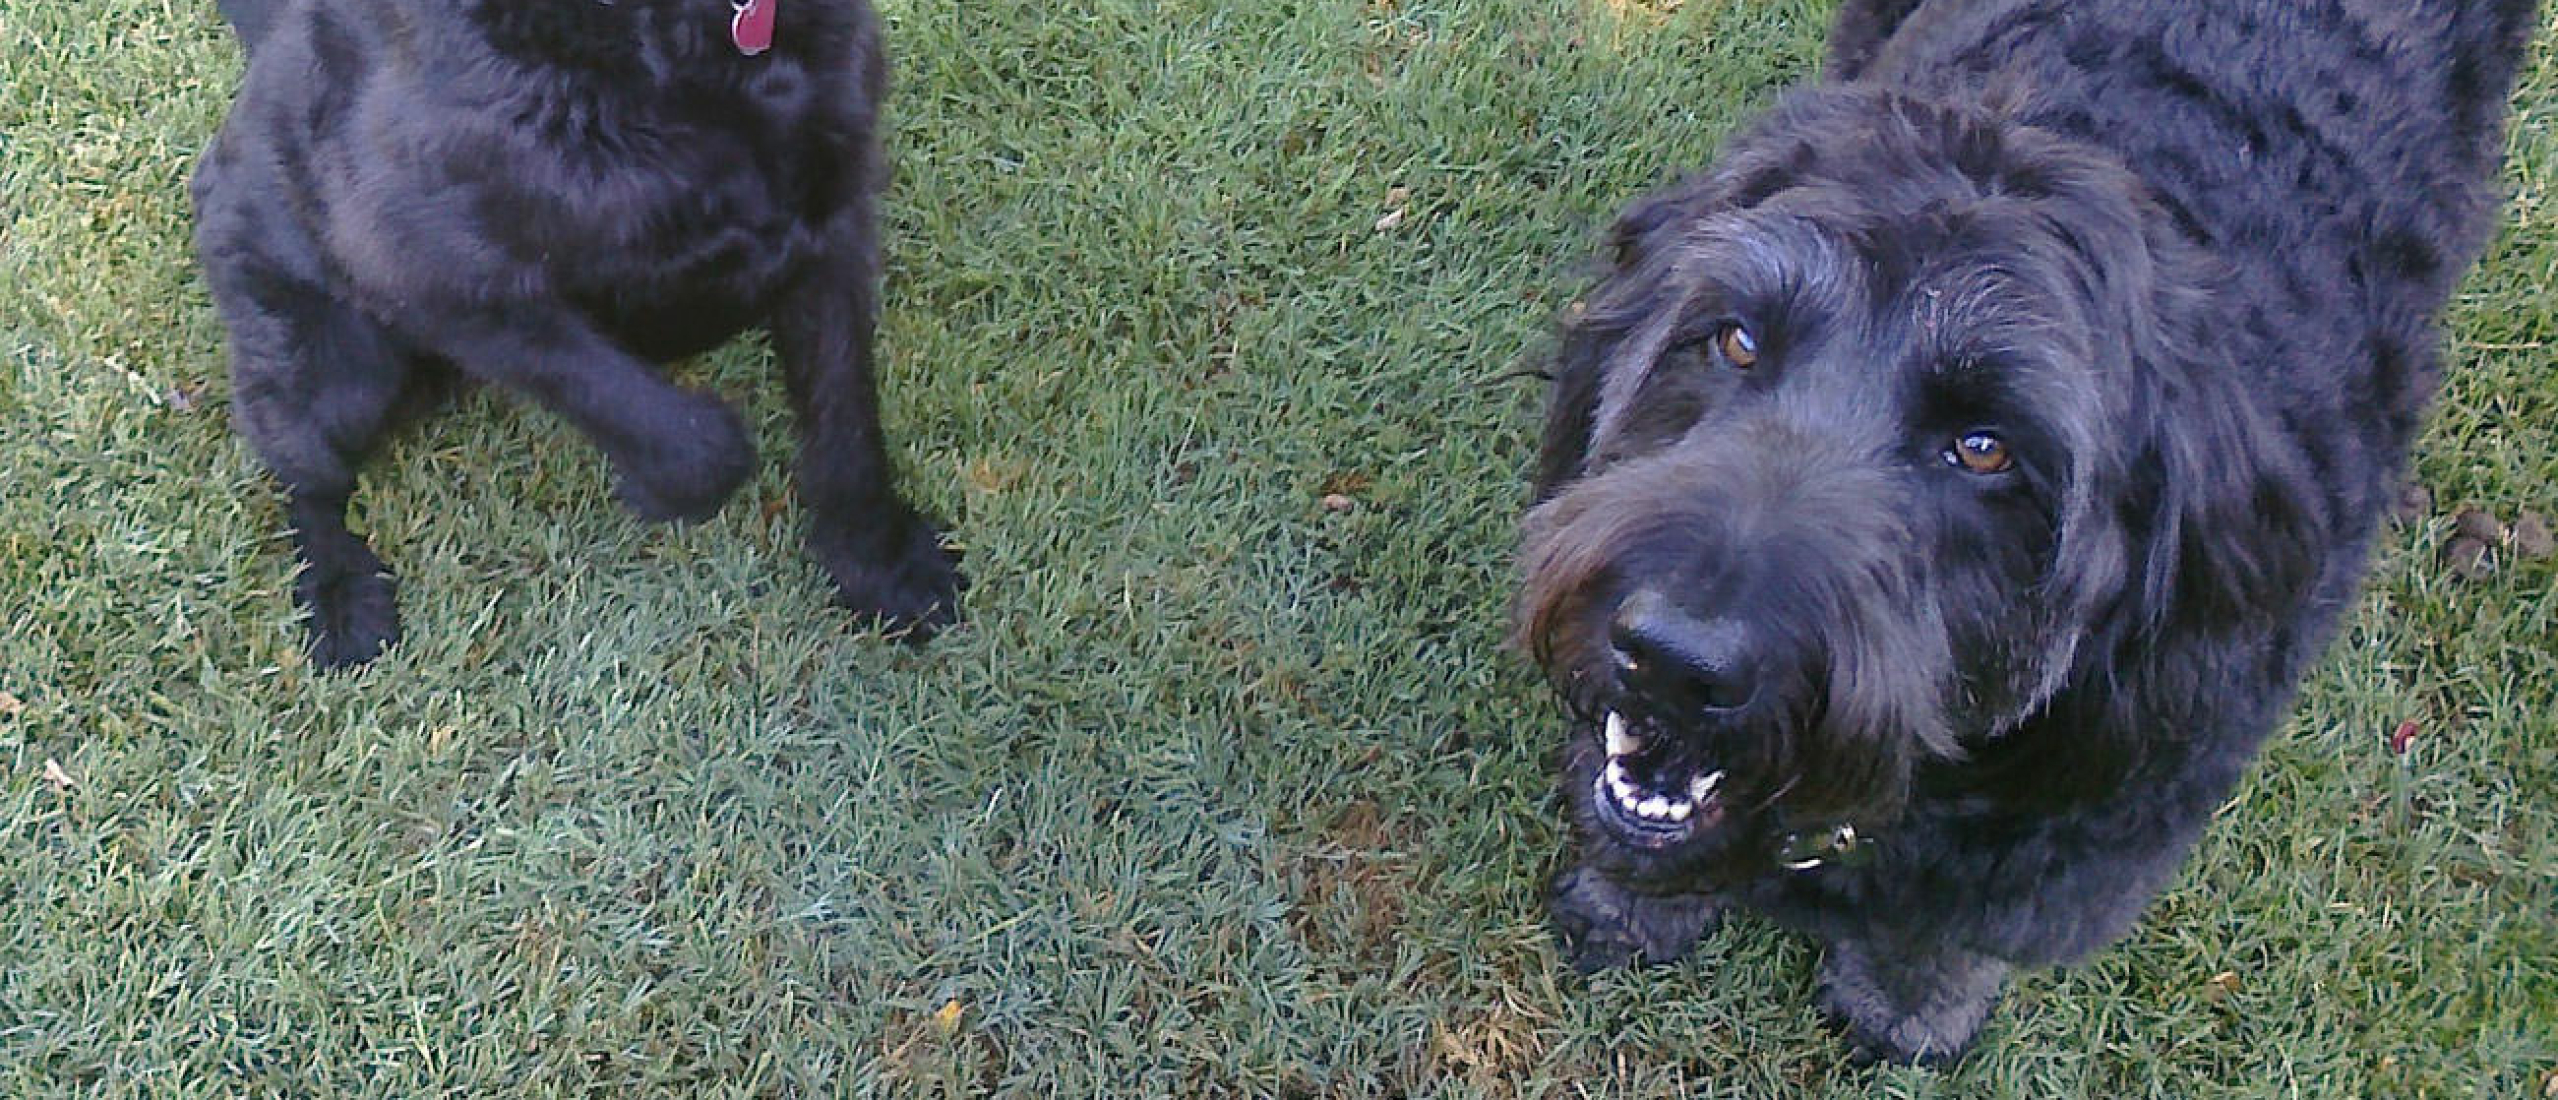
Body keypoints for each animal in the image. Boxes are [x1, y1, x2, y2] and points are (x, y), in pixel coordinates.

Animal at [186, 0, 951, 670]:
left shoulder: (833, 216)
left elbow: (846, 419)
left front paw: (878, 563)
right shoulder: (425, 270)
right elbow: (692, 443)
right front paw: (659, 490)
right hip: (336, 371)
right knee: (302, 475)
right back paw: (340, 592)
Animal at [1514, 0, 2537, 1069]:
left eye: (1984, 448)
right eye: (1737, 340)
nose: (1677, 661)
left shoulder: (2116, 802)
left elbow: (1966, 924)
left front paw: (1913, 1003)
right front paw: (1627, 903)